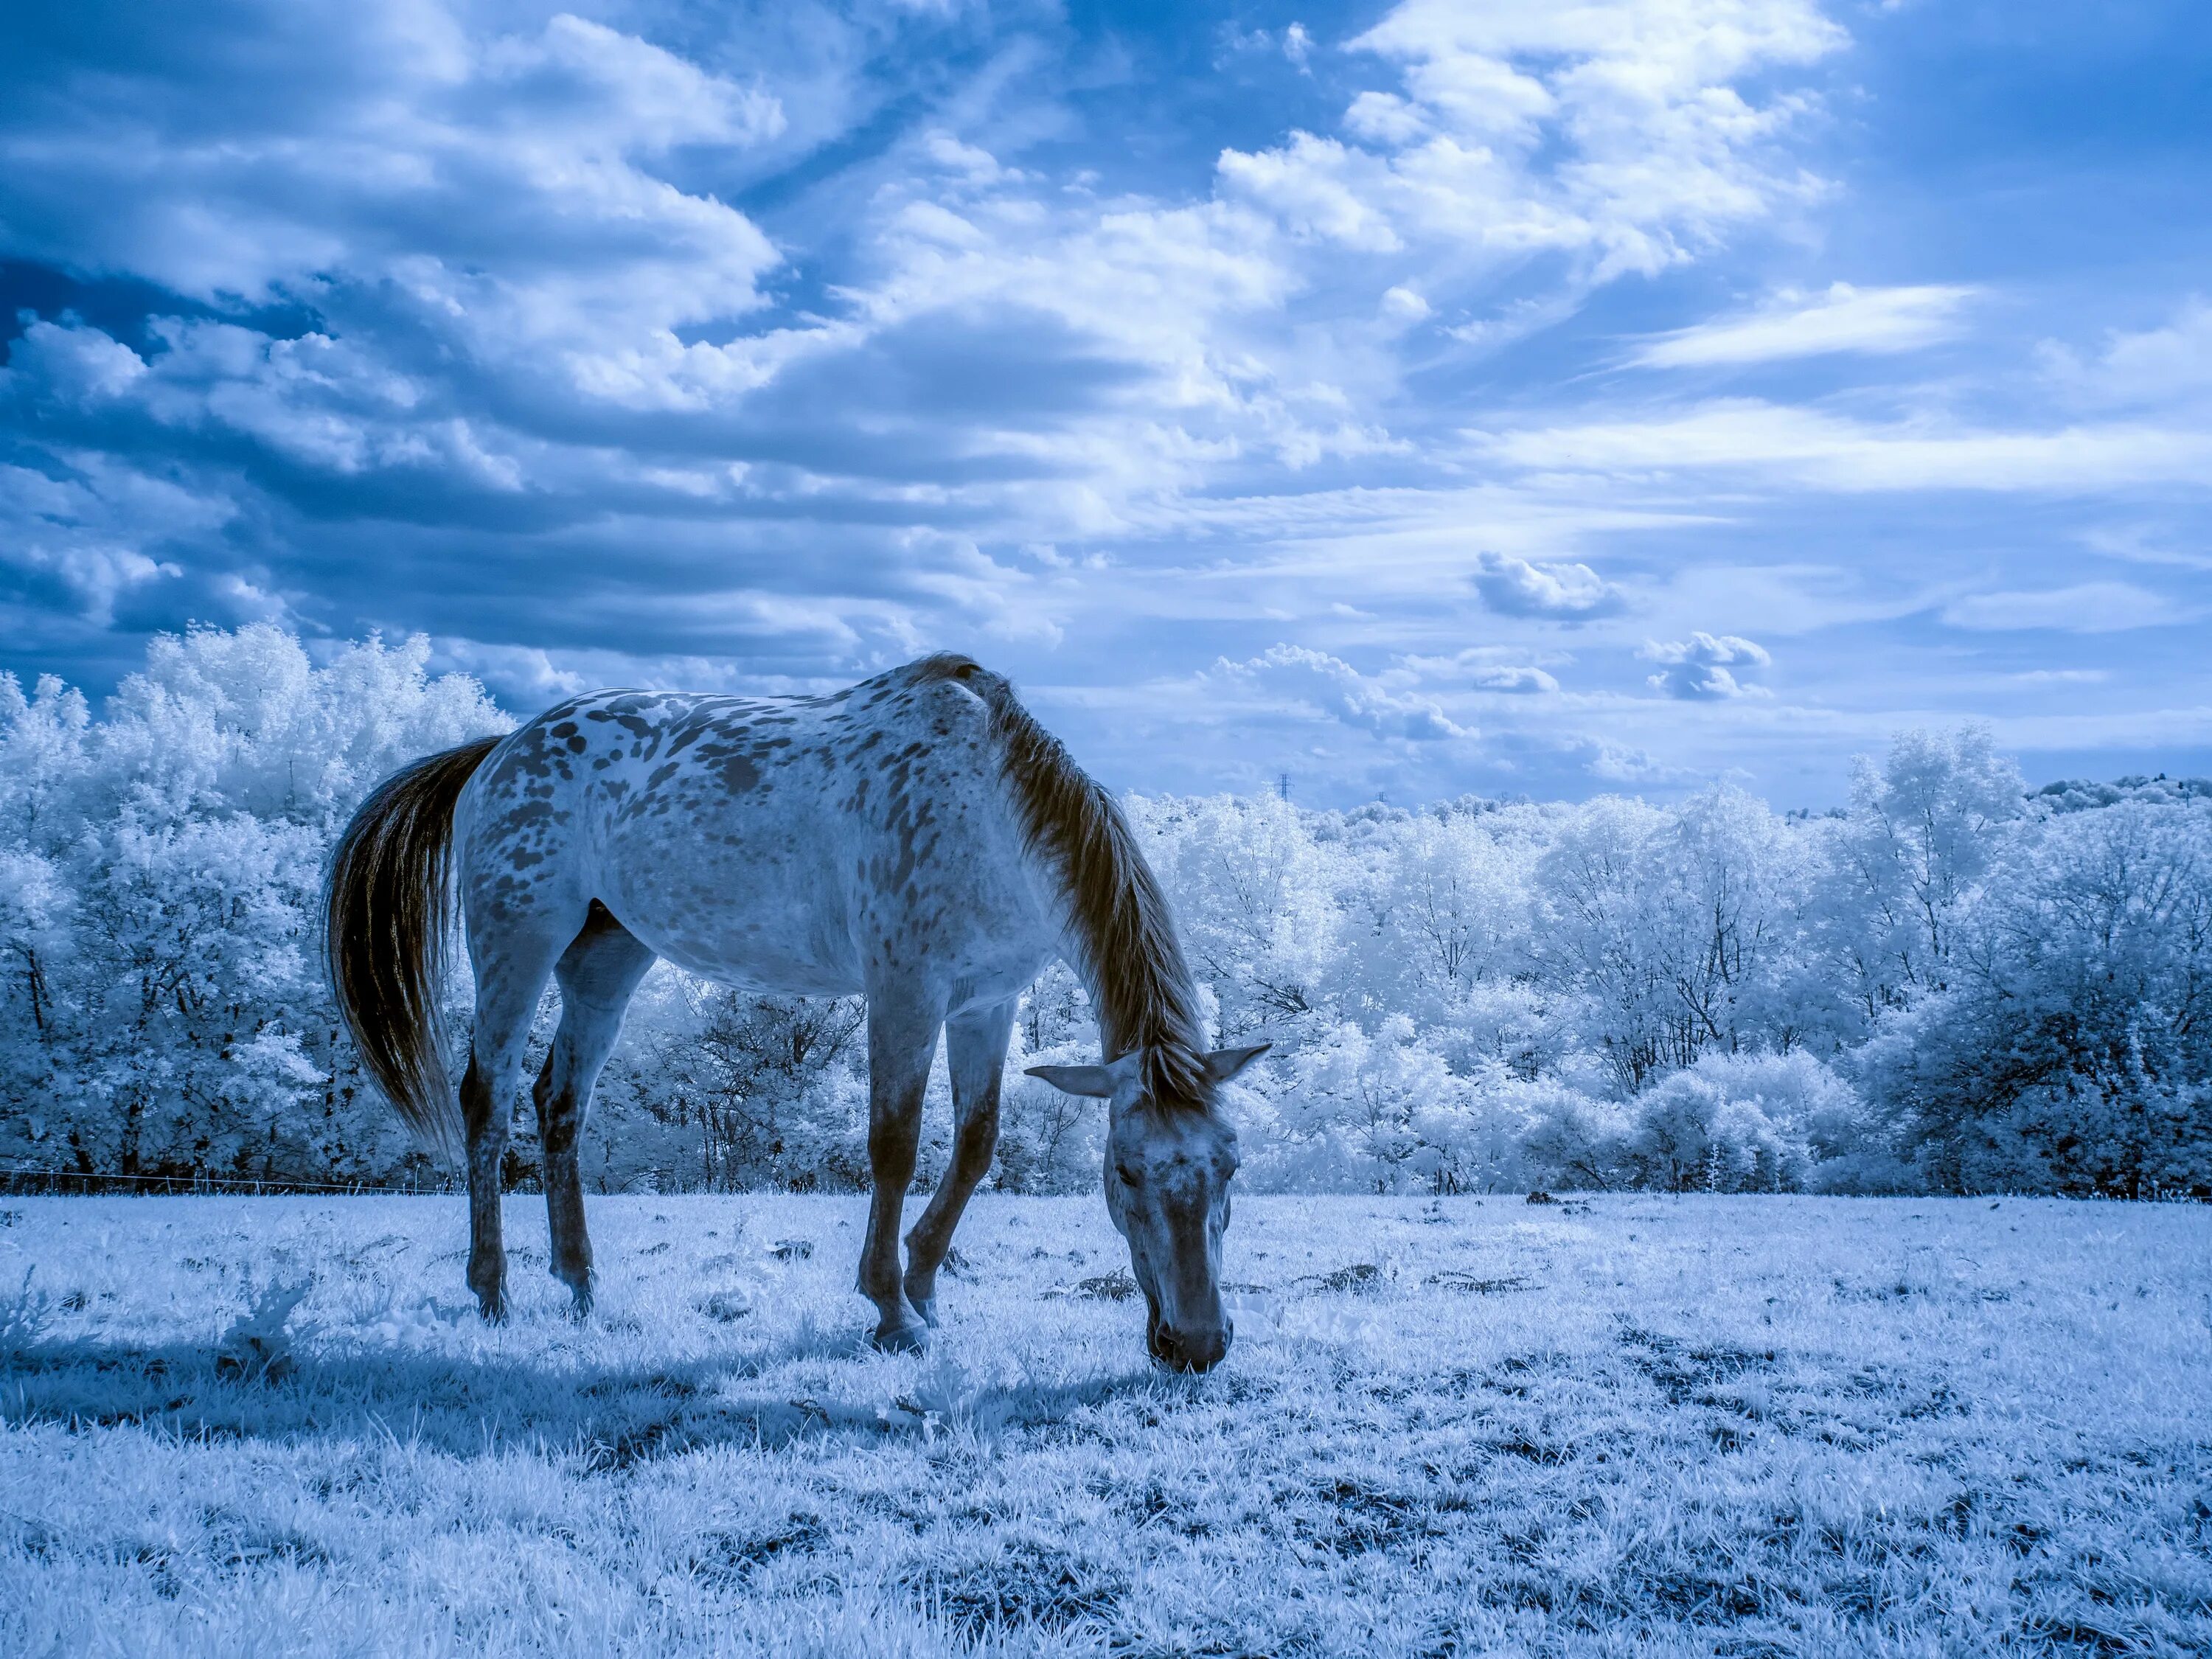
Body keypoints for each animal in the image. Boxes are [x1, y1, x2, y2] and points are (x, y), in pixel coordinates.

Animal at [321, 655, 1274, 1371]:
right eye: (1126, 1175)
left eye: (1229, 1168)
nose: (1196, 1344)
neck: (990, 810)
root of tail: (499, 751)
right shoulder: (905, 994)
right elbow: (894, 1146)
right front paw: (891, 1310)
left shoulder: (986, 1003)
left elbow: (975, 1146)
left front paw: (924, 1283)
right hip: (517, 943)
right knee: (487, 1102)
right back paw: (493, 1290)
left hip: (607, 958)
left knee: (561, 1103)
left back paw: (582, 1284)